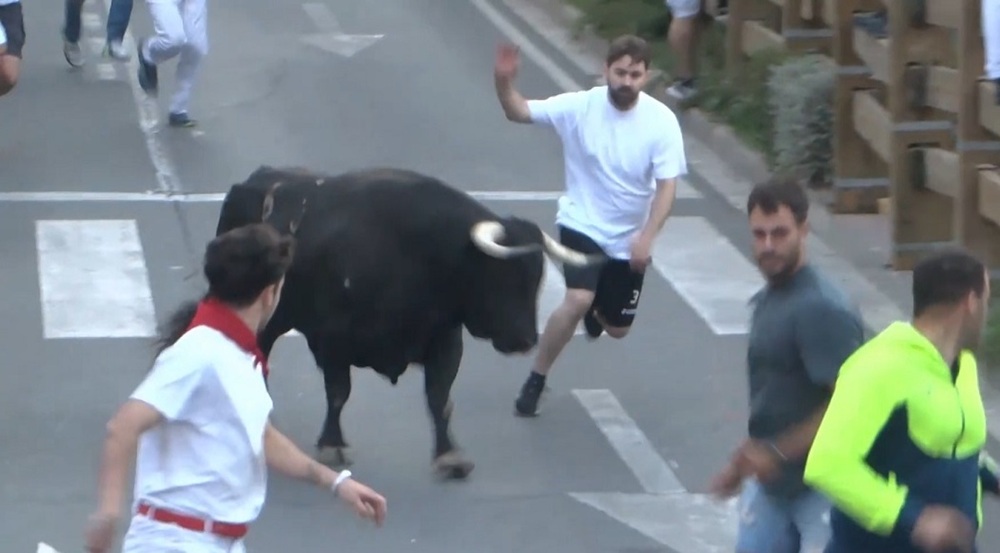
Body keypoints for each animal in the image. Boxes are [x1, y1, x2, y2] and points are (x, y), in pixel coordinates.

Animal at [213, 165, 600, 478]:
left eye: (537, 278)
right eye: (502, 275)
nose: (525, 340)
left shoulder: (445, 339)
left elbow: (439, 398)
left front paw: (450, 456)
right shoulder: (334, 342)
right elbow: (338, 394)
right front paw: (332, 444)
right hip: (267, 319)